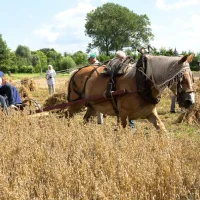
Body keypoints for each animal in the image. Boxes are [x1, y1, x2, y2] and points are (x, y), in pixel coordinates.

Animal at [66, 54, 195, 132]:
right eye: (181, 78)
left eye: (192, 77)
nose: (190, 101)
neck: (142, 82)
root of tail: (76, 71)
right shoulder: (123, 115)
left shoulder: (150, 113)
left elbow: (162, 129)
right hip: (75, 104)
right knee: (68, 116)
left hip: (92, 106)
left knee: (85, 120)